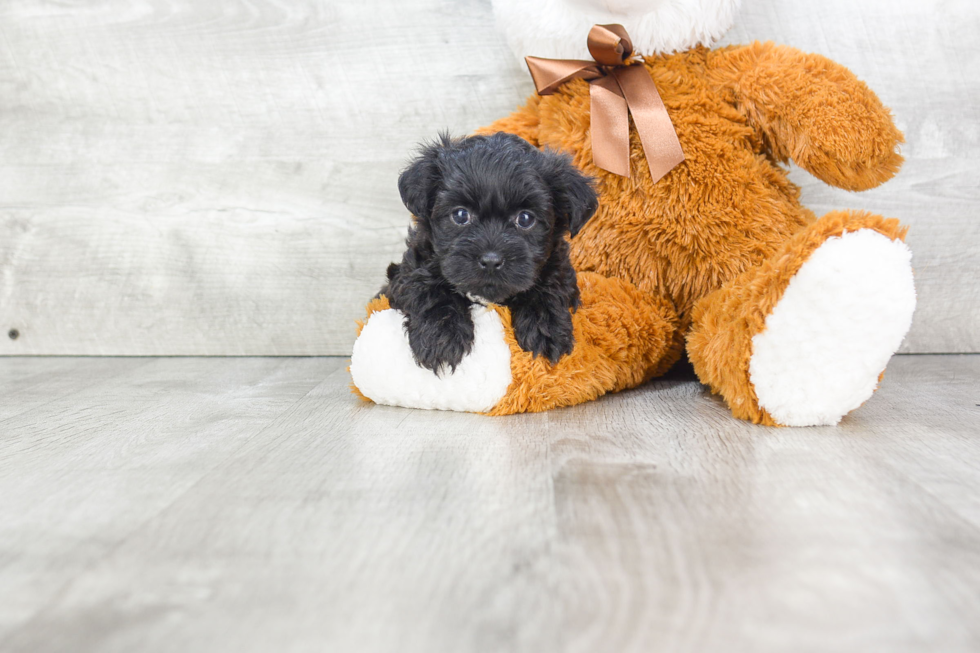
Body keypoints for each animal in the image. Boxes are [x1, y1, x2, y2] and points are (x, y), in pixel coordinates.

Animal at [380, 132, 596, 374]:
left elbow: (550, 287)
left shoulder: (557, 265)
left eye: (525, 219)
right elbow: (429, 289)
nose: (491, 260)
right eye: (461, 215)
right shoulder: (411, 270)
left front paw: (545, 329)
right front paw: (441, 338)